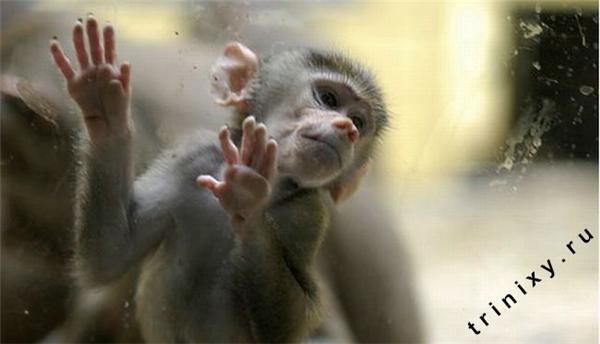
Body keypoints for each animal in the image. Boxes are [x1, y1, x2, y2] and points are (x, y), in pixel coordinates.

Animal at [50, 15, 390, 342]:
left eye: (359, 120)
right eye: (328, 98)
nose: (348, 128)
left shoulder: (307, 213)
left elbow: (285, 328)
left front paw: (249, 196)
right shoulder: (191, 158)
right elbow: (109, 255)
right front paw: (104, 104)